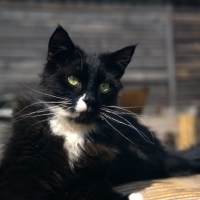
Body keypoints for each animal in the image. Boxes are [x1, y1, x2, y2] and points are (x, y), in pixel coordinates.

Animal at [0, 25, 200, 199]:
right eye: (72, 79)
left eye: (104, 86)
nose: (89, 100)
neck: (73, 130)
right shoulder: (19, 177)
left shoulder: (87, 180)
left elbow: (96, 190)